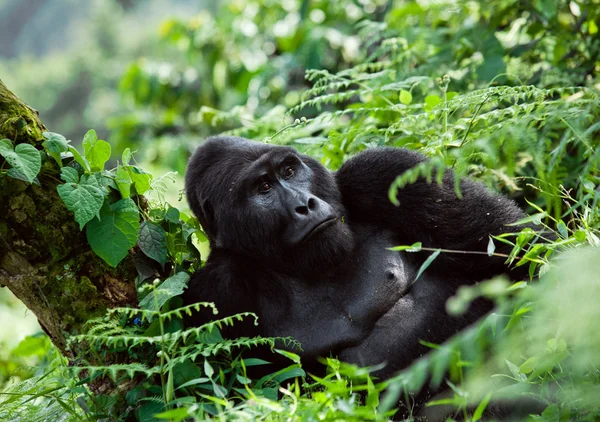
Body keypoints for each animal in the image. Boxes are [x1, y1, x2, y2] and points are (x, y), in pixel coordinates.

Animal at [184, 136, 528, 382]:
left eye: (289, 171)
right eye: (263, 188)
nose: (305, 205)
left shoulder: (383, 172)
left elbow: (519, 250)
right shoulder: (216, 290)